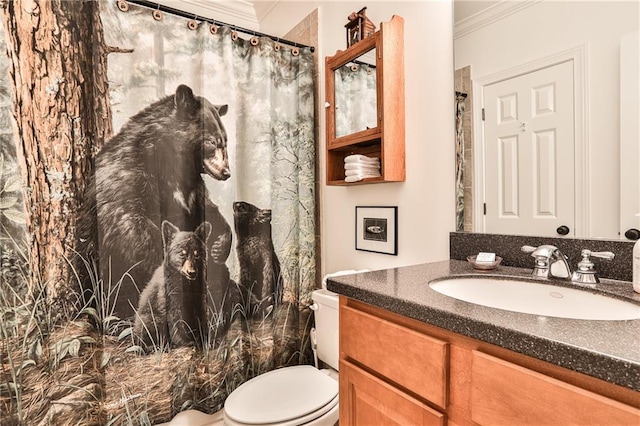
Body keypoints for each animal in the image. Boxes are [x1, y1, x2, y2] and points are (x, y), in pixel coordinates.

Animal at [77, 85, 232, 322]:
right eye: (212, 142)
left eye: (225, 141)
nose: (226, 172)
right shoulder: (131, 174)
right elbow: (131, 224)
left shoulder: (190, 187)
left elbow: (208, 211)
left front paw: (219, 246)